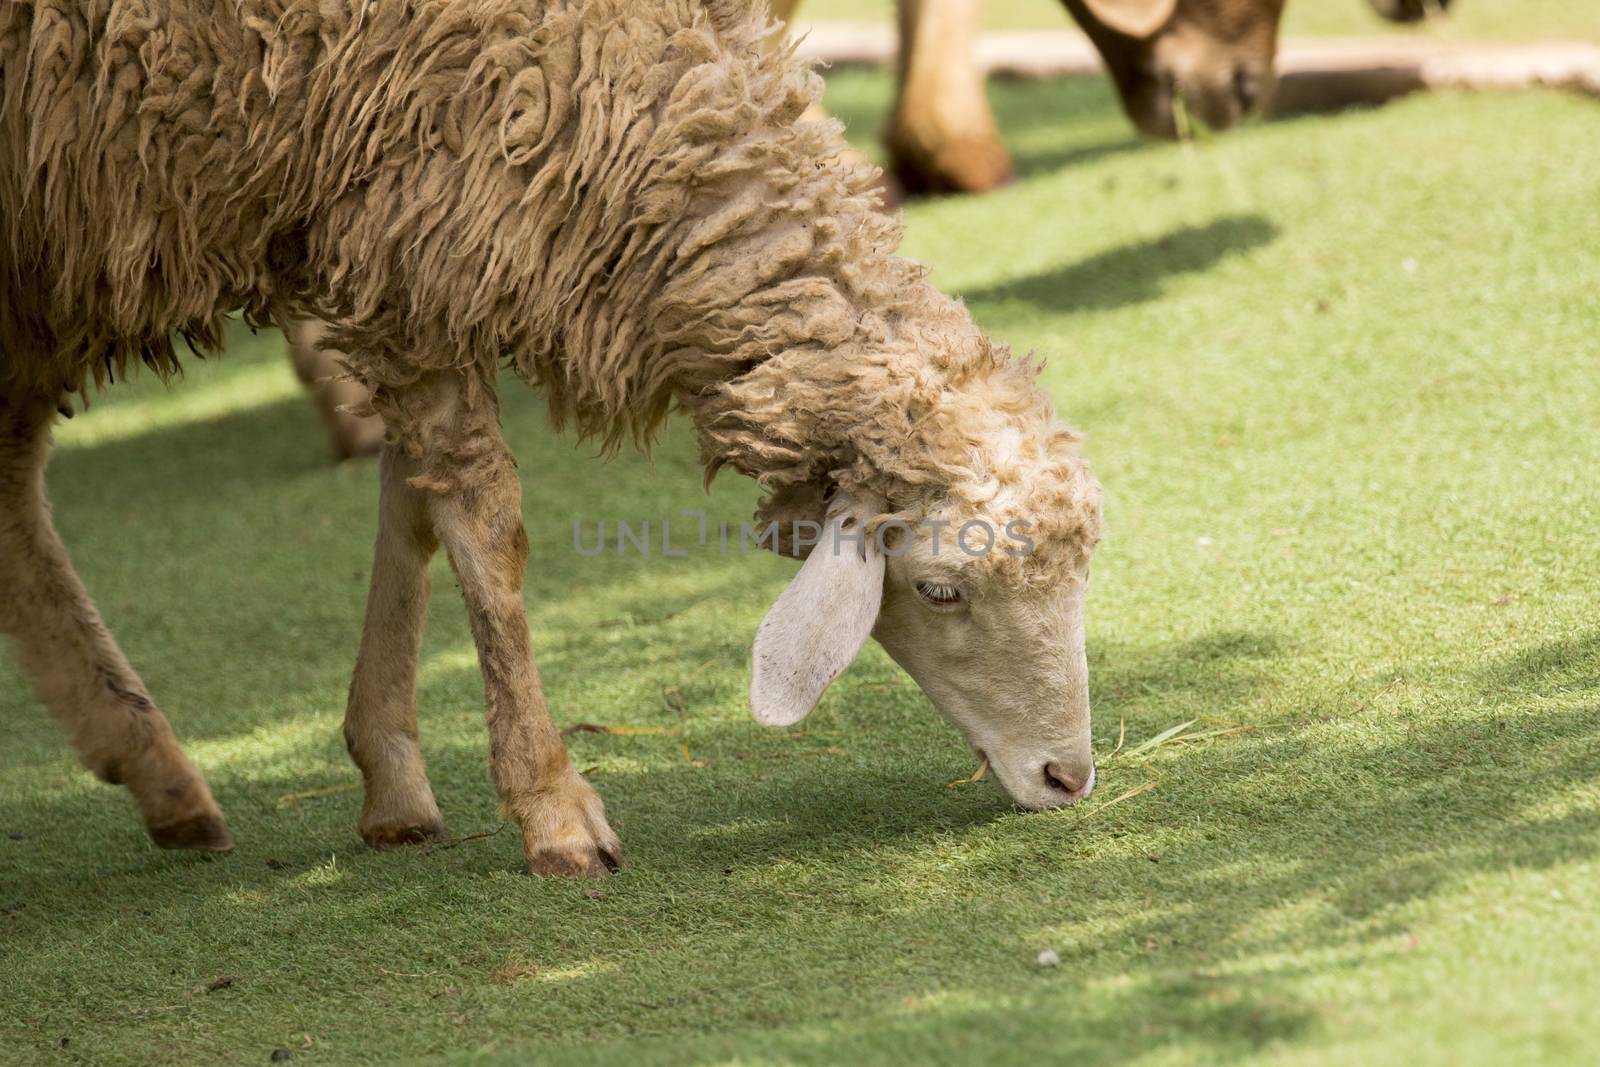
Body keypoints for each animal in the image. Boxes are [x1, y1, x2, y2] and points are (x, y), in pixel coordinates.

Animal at [0, 0, 1100, 876]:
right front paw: (552, 807)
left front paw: (391, 775)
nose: (1070, 775)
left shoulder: (412, 252)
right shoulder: (413, 220)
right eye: (940, 589)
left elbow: (412, 507)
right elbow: (484, 525)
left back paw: (161, 776)